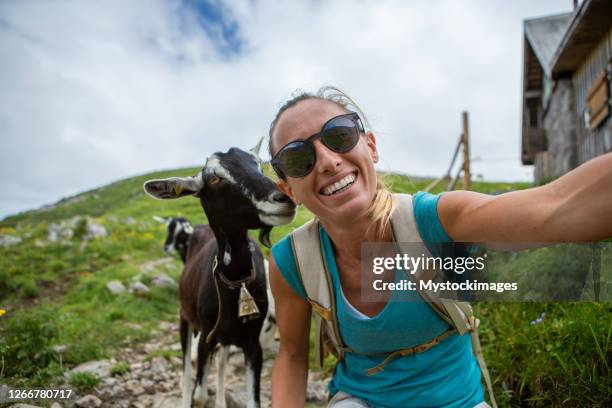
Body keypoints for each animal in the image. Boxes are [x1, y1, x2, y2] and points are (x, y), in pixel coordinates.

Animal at [144, 142, 296, 406]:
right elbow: (199, 393)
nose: (283, 198)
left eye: (258, 165)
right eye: (214, 178)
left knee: (222, 367)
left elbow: (252, 399)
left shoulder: (251, 344)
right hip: (185, 319)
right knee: (186, 374)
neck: (237, 282)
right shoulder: (207, 336)